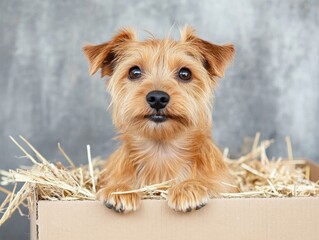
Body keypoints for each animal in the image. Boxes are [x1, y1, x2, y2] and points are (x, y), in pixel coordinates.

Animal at [84, 25, 236, 214]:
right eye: (134, 72)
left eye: (185, 73)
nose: (157, 98)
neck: (161, 152)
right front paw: (120, 189)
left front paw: (188, 187)